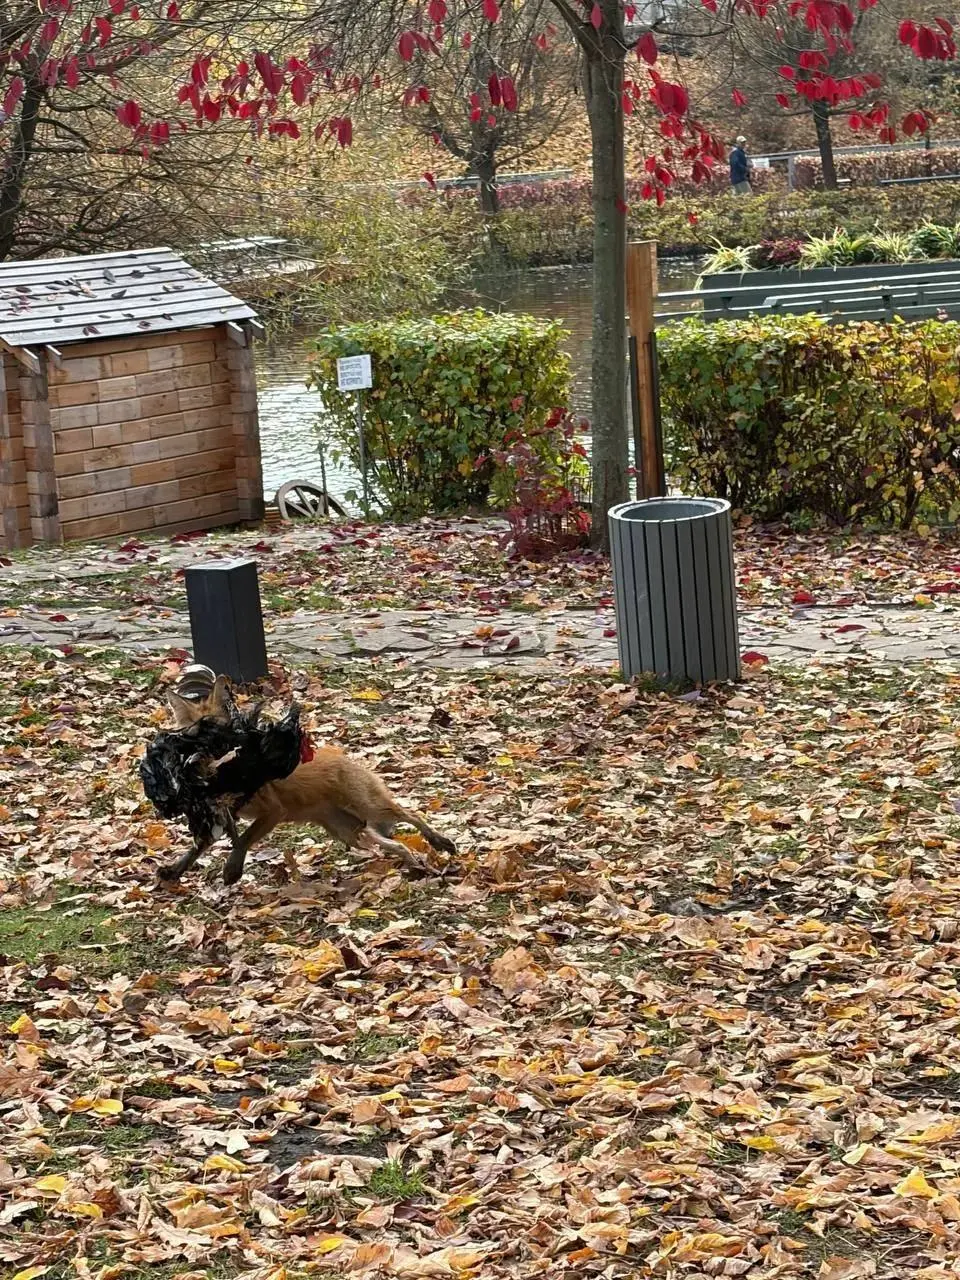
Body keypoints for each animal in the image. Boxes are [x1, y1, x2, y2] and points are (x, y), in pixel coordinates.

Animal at [157, 675, 456, 886]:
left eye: (216, 734)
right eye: (189, 736)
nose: (197, 762)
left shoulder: (273, 812)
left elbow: (243, 840)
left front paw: (232, 869)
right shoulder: (217, 813)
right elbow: (199, 846)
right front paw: (175, 870)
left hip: (369, 809)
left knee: (411, 814)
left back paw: (439, 842)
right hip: (351, 831)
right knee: (397, 845)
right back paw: (415, 863)